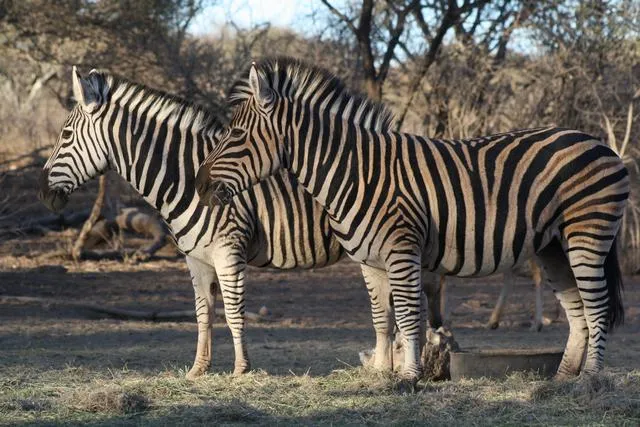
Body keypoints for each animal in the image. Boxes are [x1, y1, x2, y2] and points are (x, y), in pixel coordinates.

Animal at [38, 67, 452, 378]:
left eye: (66, 135)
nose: (44, 193)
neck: (181, 177)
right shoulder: (196, 257)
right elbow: (203, 314)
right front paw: (198, 370)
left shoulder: (228, 250)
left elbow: (234, 312)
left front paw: (241, 370)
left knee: (426, 295)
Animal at [196, 57, 629, 385]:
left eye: (236, 134)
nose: (200, 186)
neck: (356, 172)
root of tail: (601, 144)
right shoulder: (371, 261)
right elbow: (384, 319)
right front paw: (385, 376)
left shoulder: (403, 251)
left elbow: (407, 316)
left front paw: (409, 378)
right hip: (553, 247)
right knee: (577, 313)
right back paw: (562, 379)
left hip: (587, 236)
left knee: (597, 307)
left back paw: (589, 380)